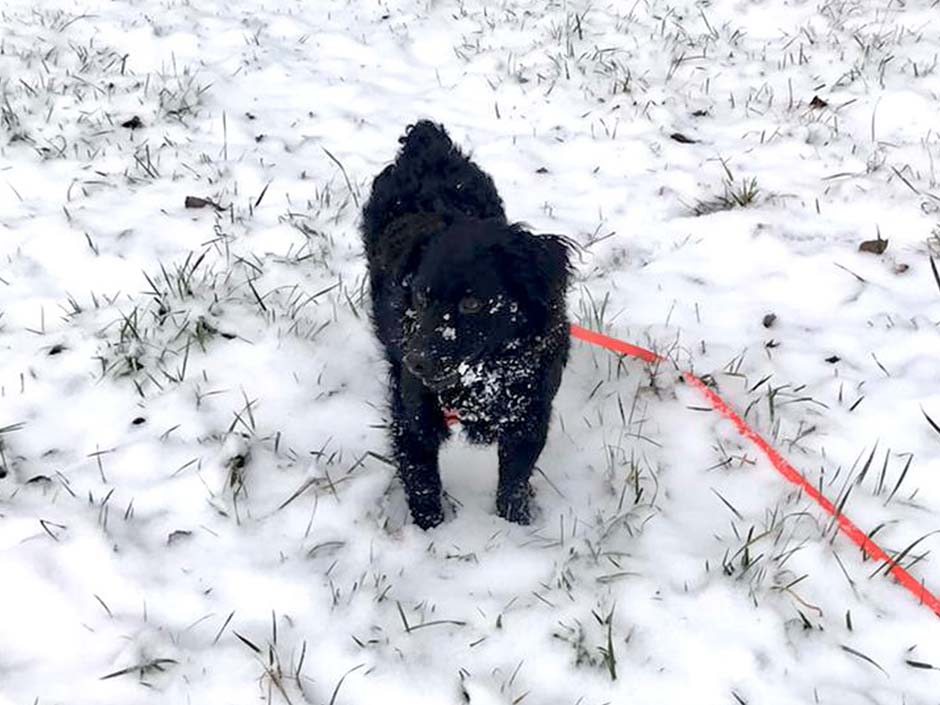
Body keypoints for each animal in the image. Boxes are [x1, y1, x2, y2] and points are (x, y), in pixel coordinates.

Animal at [360, 121, 564, 528]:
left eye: (472, 304)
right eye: (420, 297)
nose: (416, 363)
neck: (486, 376)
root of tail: (426, 137)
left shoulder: (530, 417)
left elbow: (514, 482)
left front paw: (516, 527)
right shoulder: (411, 421)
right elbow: (422, 483)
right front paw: (431, 534)